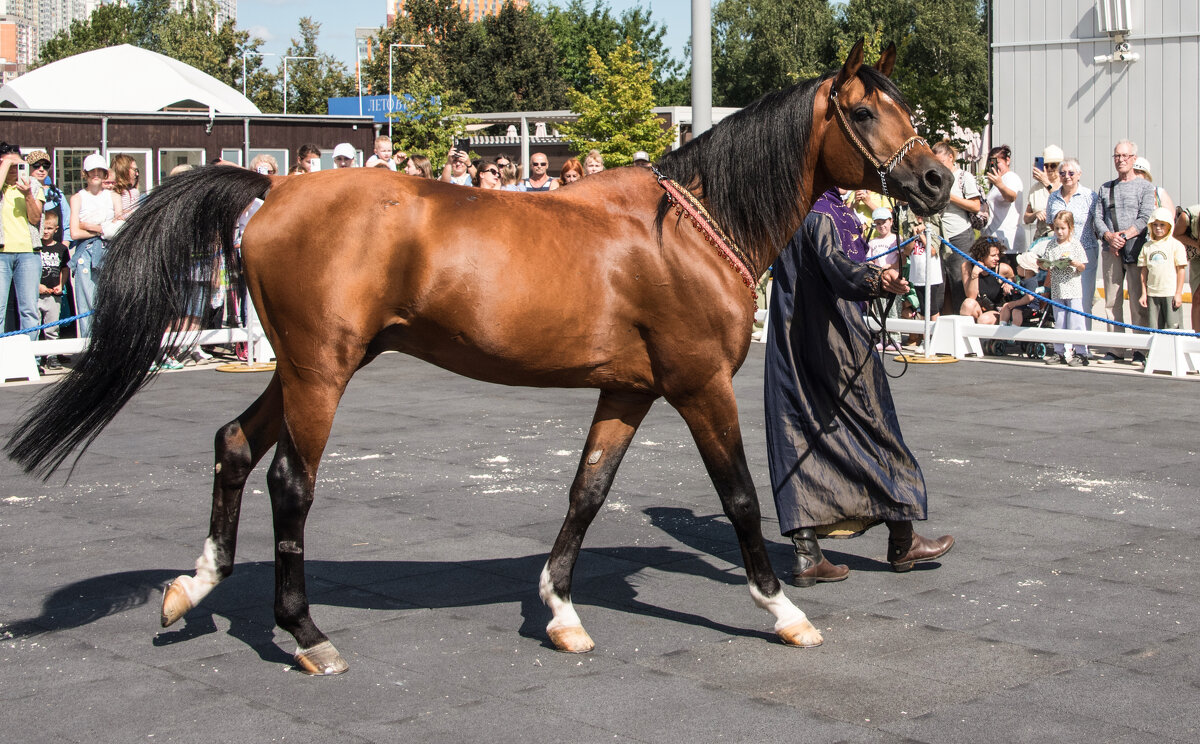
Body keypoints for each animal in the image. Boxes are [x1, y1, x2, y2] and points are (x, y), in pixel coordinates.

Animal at [7, 43, 945, 676]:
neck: (685, 228)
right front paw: (782, 608)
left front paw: (561, 612)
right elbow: (743, 498)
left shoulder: (628, 391)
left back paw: (191, 588)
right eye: (865, 113)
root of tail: (274, 187)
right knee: (289, 483)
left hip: (304, 368)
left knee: (235, 446)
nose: (936, 184)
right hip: (321, 373)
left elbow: (586, 493)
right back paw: (306, 635)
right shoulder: (698, 386)